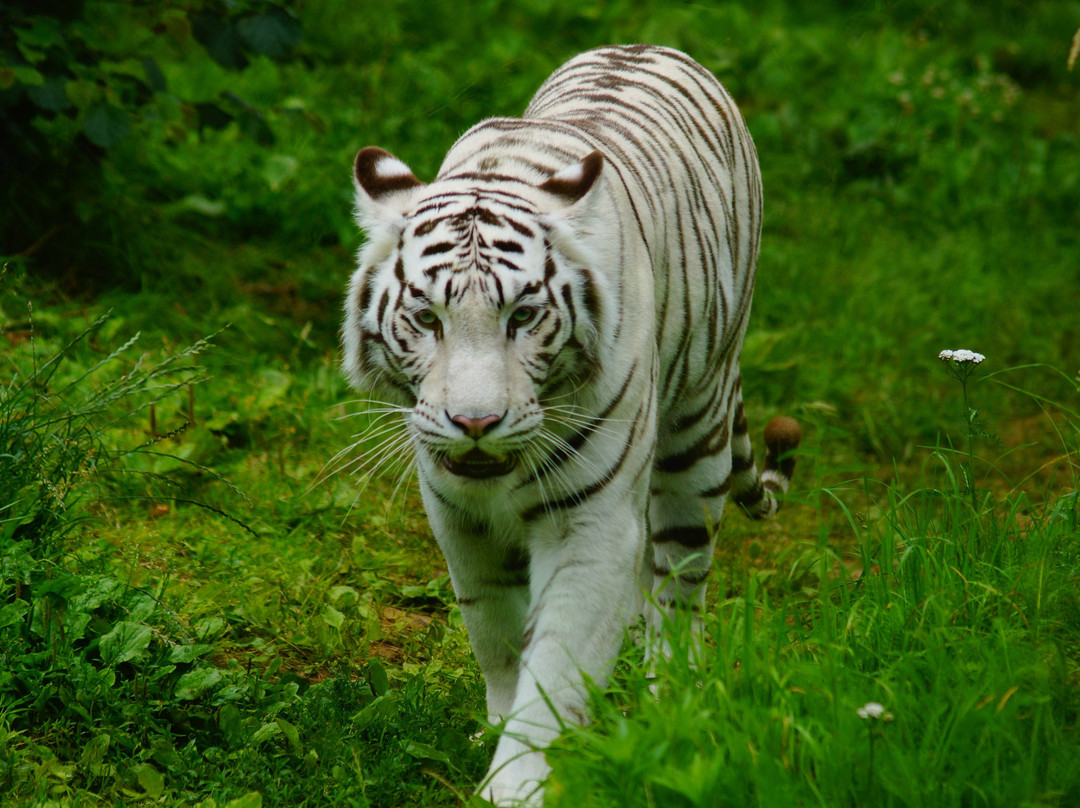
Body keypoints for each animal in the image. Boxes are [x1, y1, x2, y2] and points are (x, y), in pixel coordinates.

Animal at [341, 45, 799, 808]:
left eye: (522, 317)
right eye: (428, 318)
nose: (475, 421)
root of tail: (651, 46)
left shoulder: (590, 523)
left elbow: (555, 661)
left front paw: (517, 782)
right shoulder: (458, 518)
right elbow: (496, 636)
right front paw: (499, 732)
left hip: (696, 435)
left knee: (679, 588)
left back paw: (667, 703)